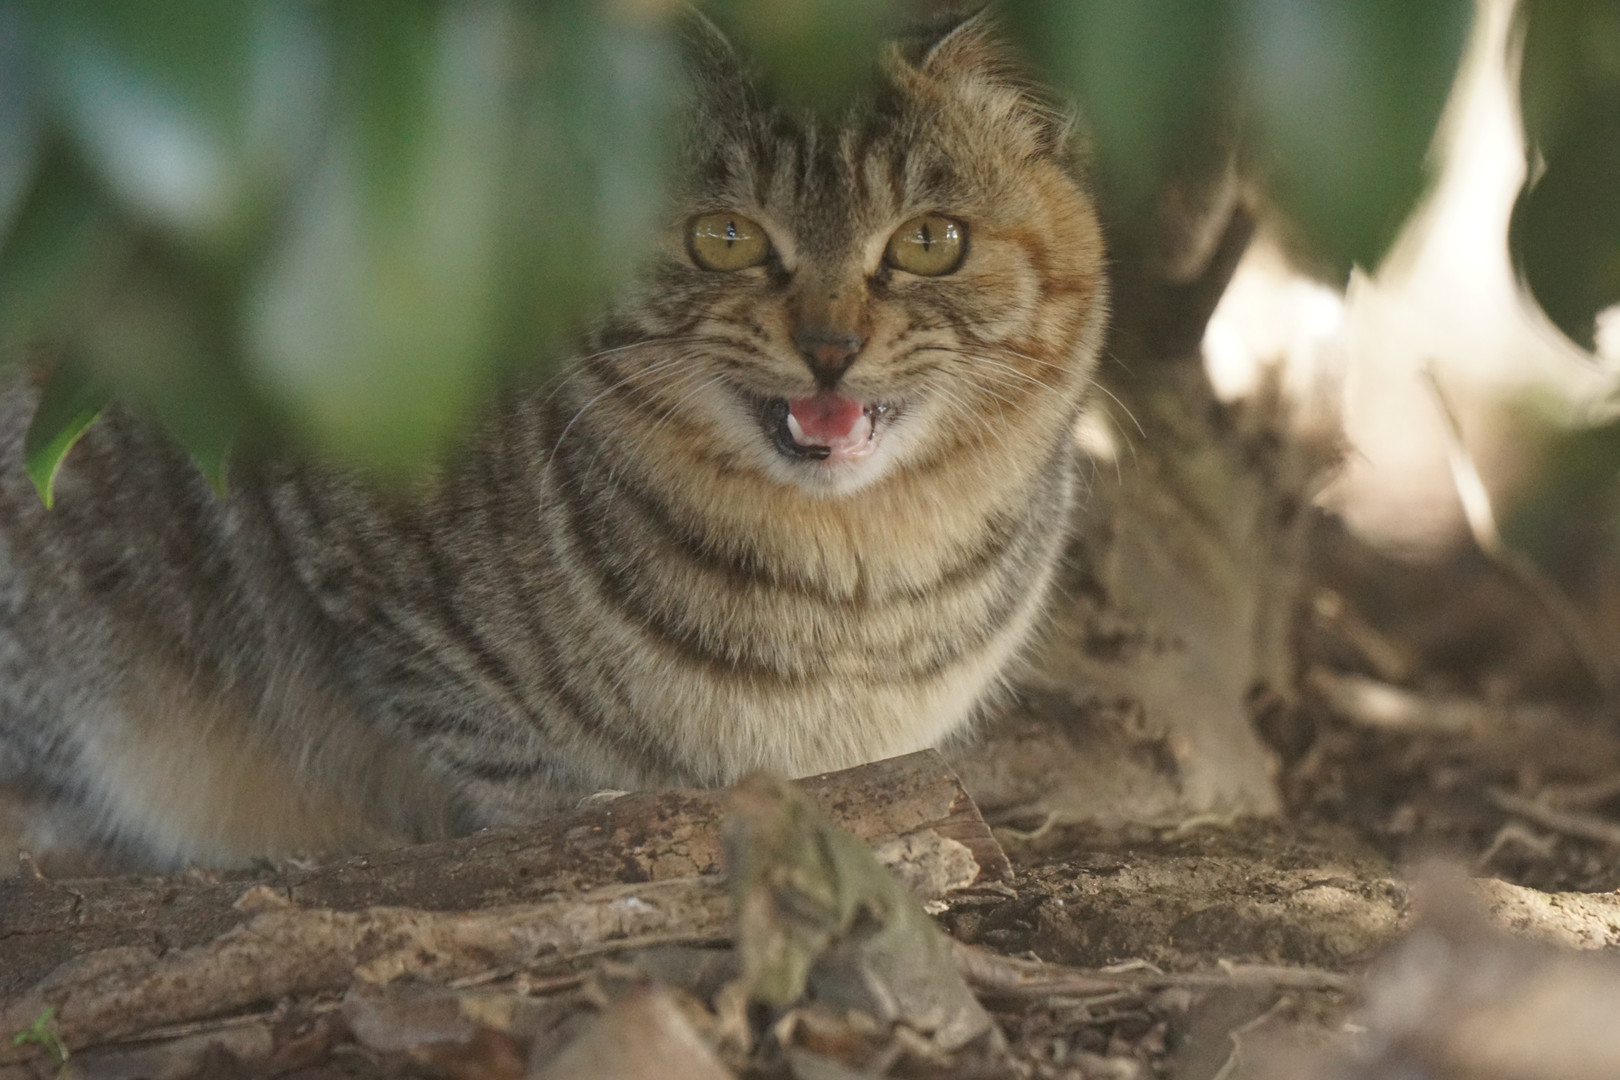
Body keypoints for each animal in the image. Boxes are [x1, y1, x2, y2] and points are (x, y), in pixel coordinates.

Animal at [0, 15, 1107, 870]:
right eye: (725, 238)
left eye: (930, 241)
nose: (830, 348)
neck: (851, 594)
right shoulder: (349, 535)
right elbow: (509, 760)